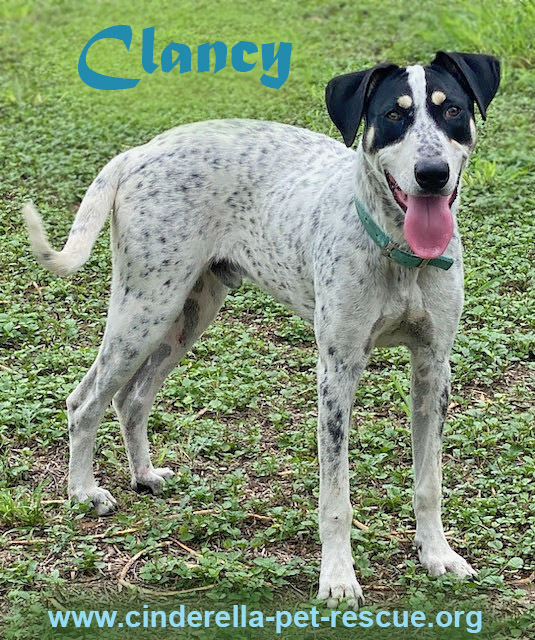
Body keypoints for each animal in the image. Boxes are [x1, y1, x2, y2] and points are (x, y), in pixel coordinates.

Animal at [24, 52, 502, 608]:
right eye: (393, 116)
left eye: (453, 112)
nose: (432, 174)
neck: (398, 252)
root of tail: (139, 152)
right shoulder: (337, 373)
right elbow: (336, 498)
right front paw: (338, 578)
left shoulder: (433, 368)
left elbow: (429, 483)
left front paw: (438, 555)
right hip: (143, 311)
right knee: (86, 402)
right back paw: (83, 492)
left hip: (188, 314)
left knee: (132, 399)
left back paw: (143, 475)